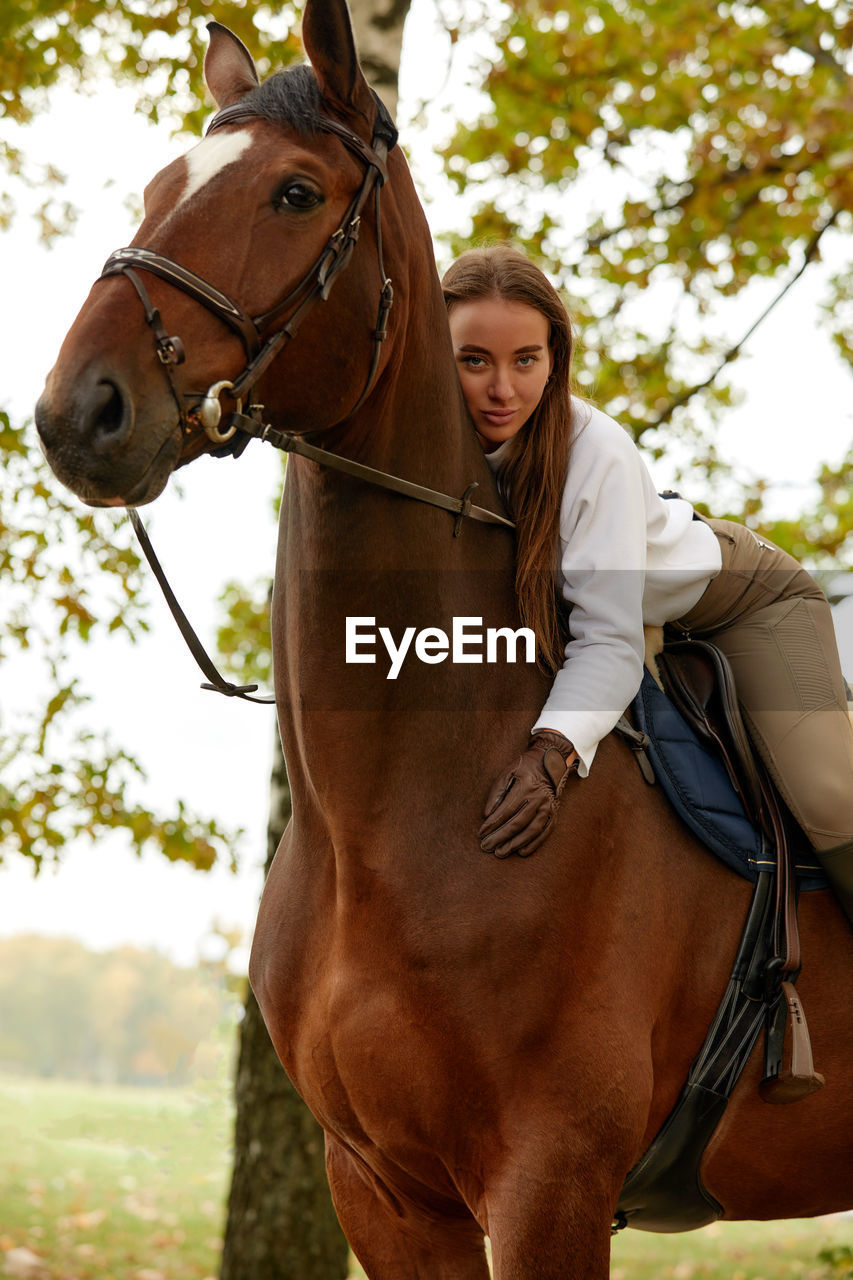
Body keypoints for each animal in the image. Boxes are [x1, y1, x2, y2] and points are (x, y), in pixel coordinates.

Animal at [34, 5, 850, 1274]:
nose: (82, 411)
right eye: (163, 183)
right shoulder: (384, 1191)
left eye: (294, 193)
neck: (397, 817)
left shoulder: (549, 1181)